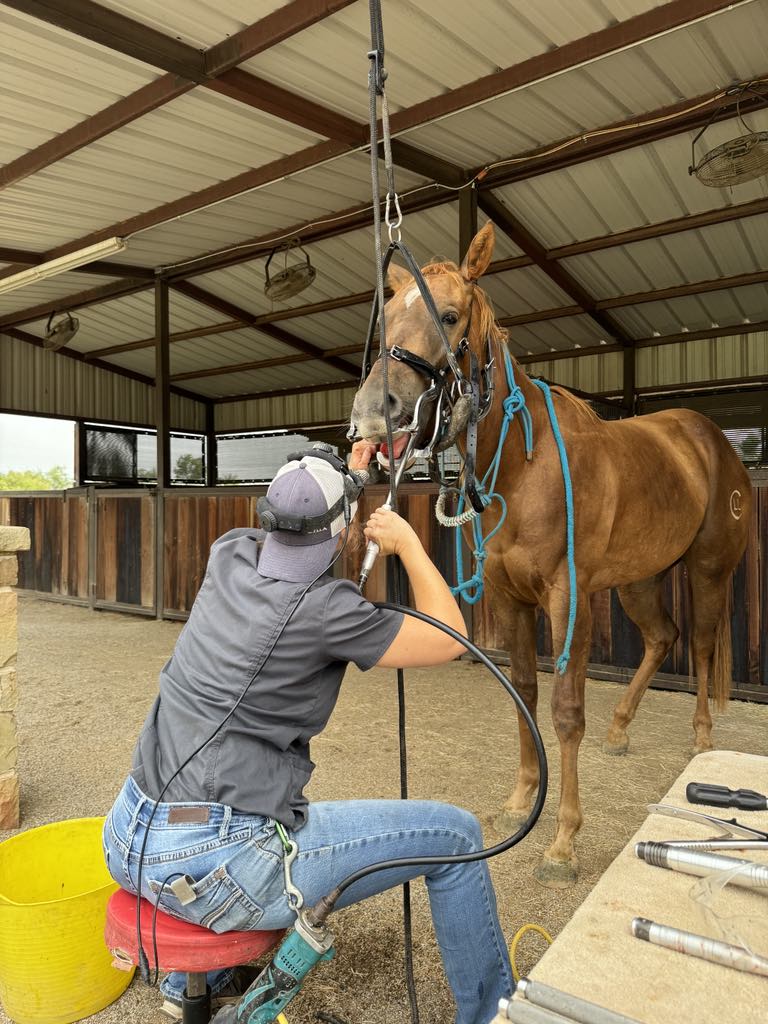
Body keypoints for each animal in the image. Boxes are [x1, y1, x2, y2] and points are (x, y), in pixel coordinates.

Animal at [349, 222, 751, 887]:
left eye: (450, 315)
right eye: (386, 322)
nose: (373, 416)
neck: (523, 464)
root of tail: (711, 439)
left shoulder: (568, 599)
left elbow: (565, 711)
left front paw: (562, 841)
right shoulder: (512, 597)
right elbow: (524, 693)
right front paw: (521, 799)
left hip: (708, 570)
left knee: (696, 645)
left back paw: (700, 741)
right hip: (639, 580)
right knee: (661, 637)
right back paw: (620, 729)